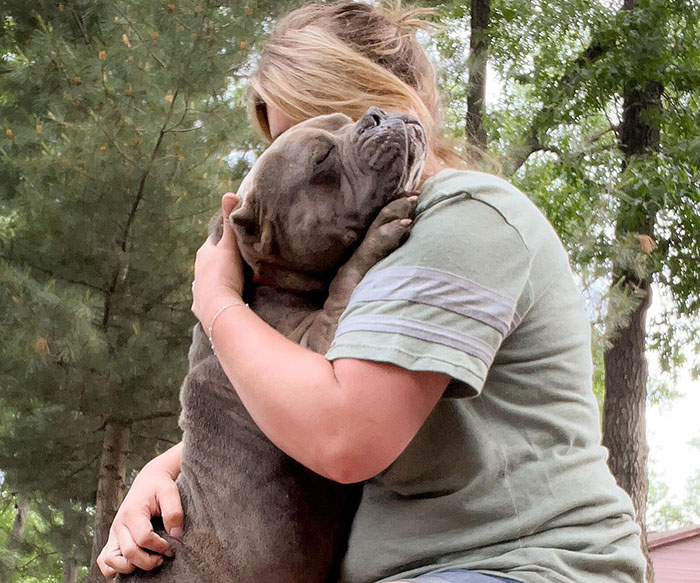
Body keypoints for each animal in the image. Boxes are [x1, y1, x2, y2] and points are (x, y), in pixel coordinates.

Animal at [119, 107, 426, 583]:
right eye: (322, 161)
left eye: (346, 117)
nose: (376, 115)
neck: (264, 279)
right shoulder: (311, 355)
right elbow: (344, 284)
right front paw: (378, 235)